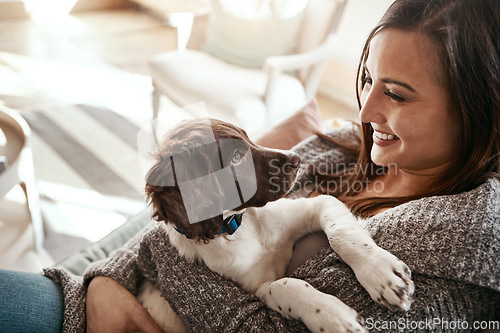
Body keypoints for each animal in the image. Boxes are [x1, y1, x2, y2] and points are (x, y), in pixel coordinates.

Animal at [138, 119, 414, 332]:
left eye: (249, 137)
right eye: (236, 157)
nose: (297, 159)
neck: (242, 227)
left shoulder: (318, 204)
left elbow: (341, 234)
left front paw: (381, 275)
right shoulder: (256, 290)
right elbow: (285, 286)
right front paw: (332, 316)